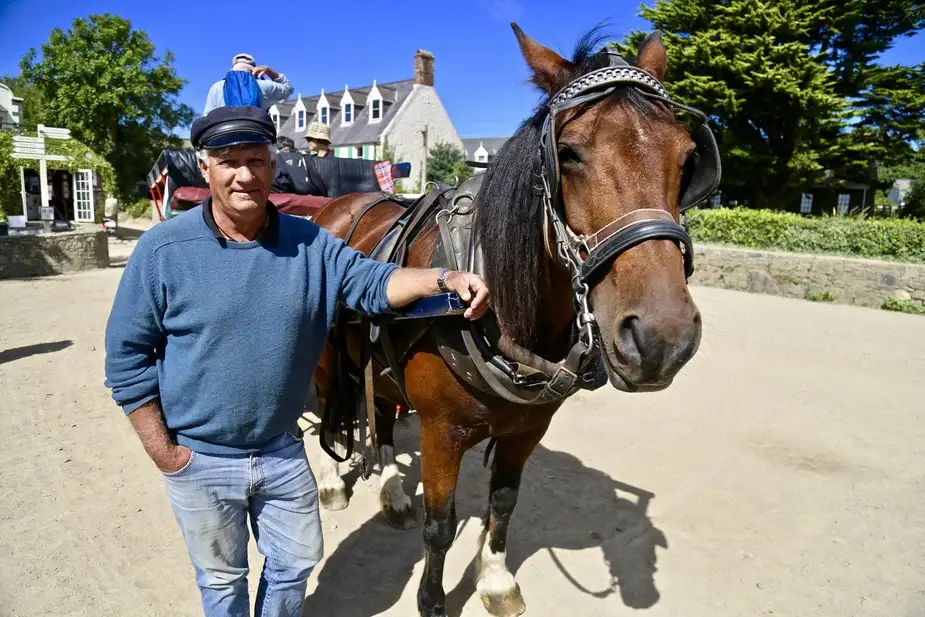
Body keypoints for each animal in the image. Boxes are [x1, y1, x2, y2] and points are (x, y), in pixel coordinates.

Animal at [308, 22, 708, 616]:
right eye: (568, 153)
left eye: (686, 159)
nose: (664, 339)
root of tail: (337, 207)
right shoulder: (442, 433)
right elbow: (441, 525)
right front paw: (433, 601)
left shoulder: (527, 428)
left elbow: (504, 502)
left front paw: (495, 579)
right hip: (326, 359)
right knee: (329, 411)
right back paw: (334, 480)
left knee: (378, 407)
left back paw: (392, 489)